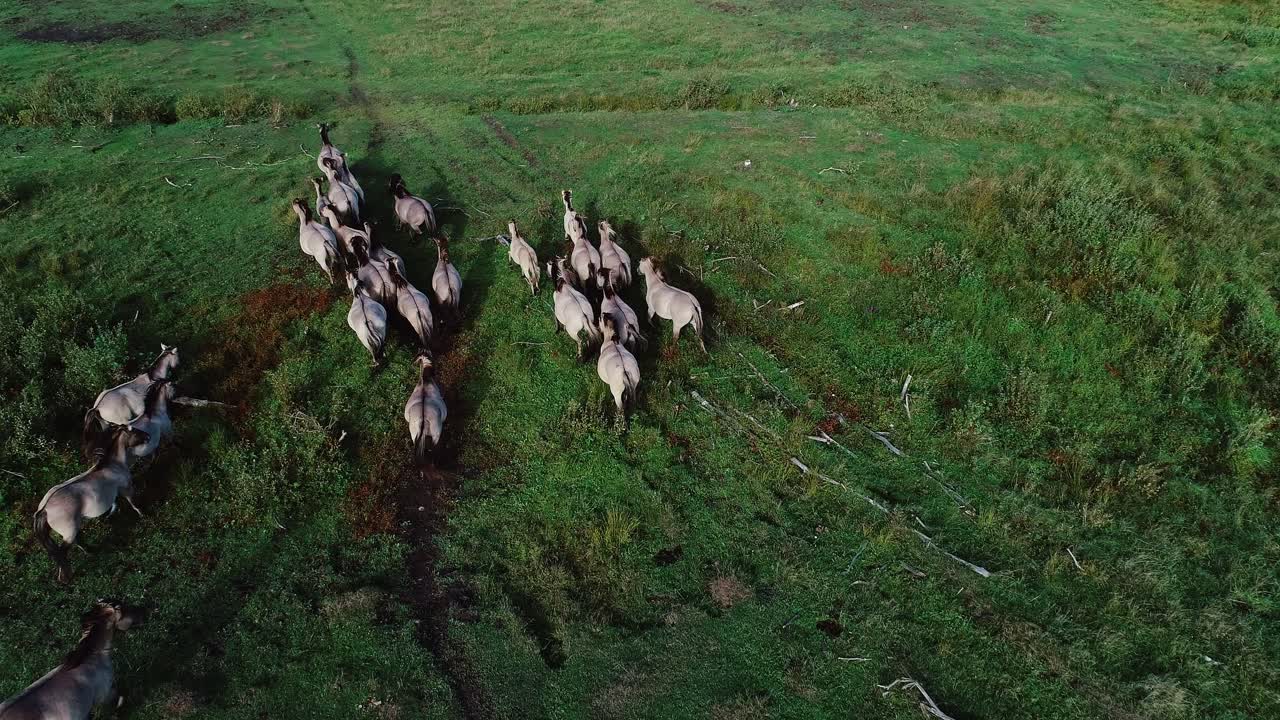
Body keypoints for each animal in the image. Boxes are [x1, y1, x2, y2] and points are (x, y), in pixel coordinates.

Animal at [35, 425, 151, 583]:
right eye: (133, 430)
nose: (148, 436)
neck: (112, 465)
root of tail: (44, 509)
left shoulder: (114, 493)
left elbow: (114, 504)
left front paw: (109, 516)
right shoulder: (126, 488)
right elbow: (134, 504)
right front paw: (144, 515)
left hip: (73, 528)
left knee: (77, 541)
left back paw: (90, 552)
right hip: (69, 531)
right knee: (62, 552)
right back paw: (65, 578)